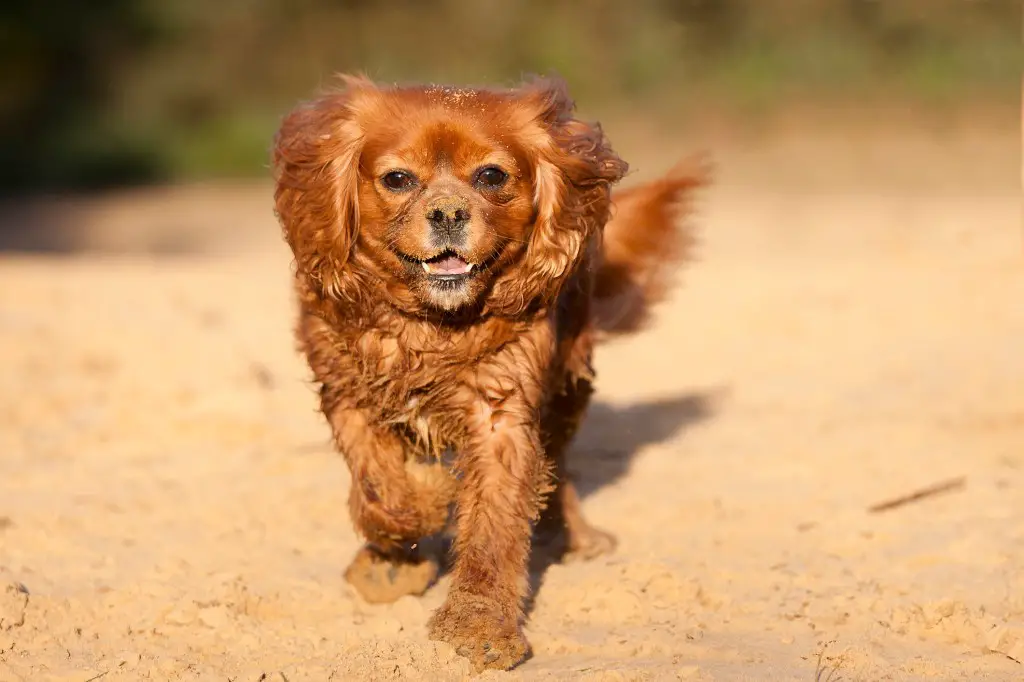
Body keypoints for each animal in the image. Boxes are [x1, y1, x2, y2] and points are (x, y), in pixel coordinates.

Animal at [268, 74, 708, 667]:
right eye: (398, 179)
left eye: (491, 175)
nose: (448, 213)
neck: (432, 323)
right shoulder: (345, 394)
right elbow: (381, 490)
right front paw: (410, 531)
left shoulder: (500, 416)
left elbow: (493, 528)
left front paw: (479, 624)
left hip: (568, 389)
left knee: (557, 467)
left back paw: (575, 536)